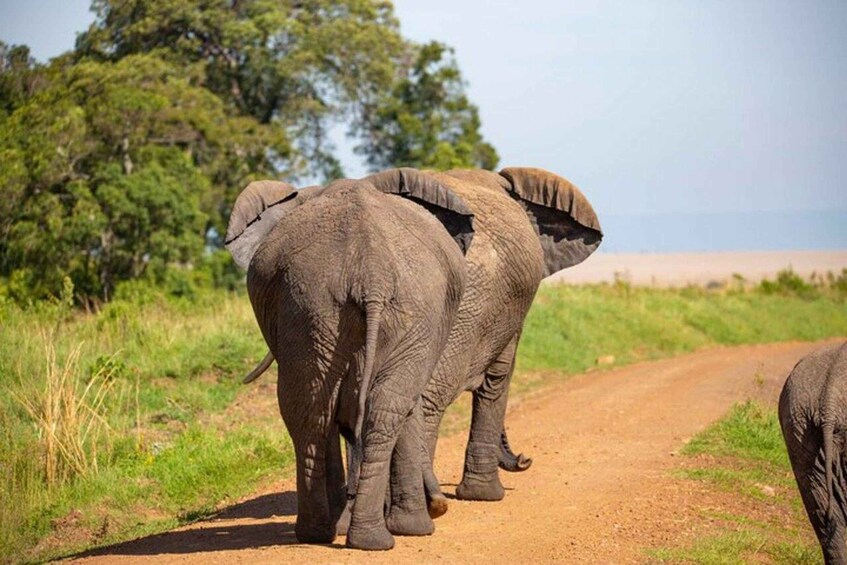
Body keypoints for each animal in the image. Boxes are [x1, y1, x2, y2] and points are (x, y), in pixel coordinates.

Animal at [224, 173, 475, 550]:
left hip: (314, 307)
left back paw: (327, 534)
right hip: (345, 308)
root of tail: (370, 270)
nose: (441, 505)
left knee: (315, 409)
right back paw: (371, 536)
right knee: (372, 409)